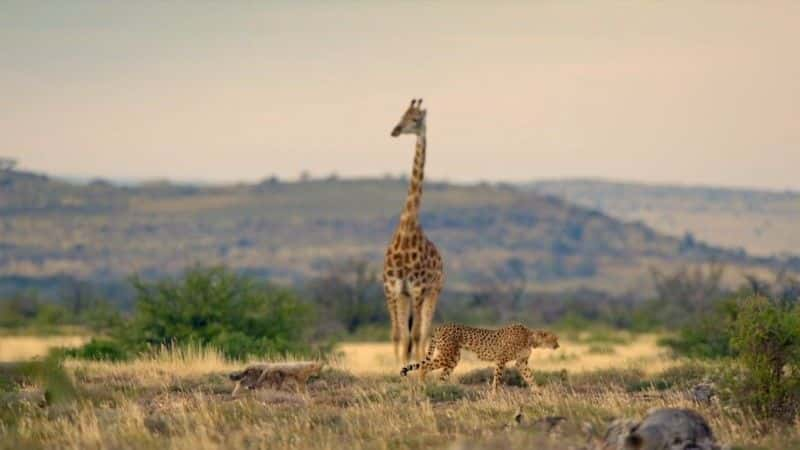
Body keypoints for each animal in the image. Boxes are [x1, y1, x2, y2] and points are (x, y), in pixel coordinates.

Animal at [398, 326, 556, 392]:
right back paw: (423, 386)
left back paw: (440, 390)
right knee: (425, 367)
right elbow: (497, 380)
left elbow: (530, 377)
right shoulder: (501, 359)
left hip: (453, 359)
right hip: (446, 355)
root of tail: (440, 326)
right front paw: (494, 396)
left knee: (441, 376)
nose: (557, 345)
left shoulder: (521, 362)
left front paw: (538, 392)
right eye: (553, 339)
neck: (530, 338)